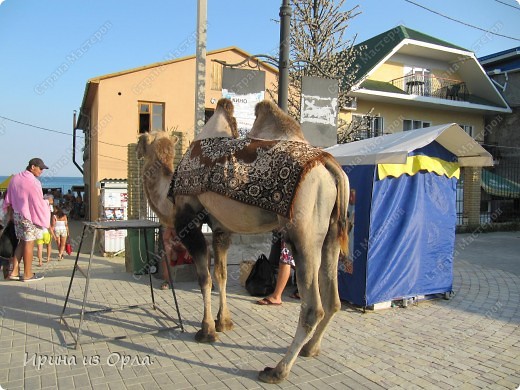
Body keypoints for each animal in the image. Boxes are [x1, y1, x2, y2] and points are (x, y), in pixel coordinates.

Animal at [167, 98, 350, 384]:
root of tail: (330, 166)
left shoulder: (189, 220)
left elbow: (204, 279)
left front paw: (206, 331)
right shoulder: (221, 229)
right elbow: (220, 275)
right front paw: (224, 322)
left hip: (304, 232)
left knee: (313, 307)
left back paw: (277, 370)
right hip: (330, 233)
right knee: (333, 299)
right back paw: (310, 349)